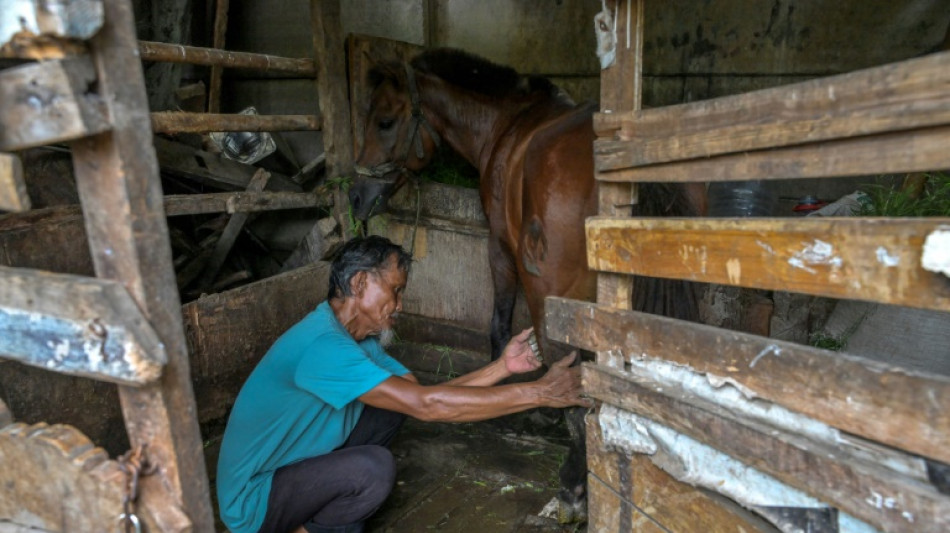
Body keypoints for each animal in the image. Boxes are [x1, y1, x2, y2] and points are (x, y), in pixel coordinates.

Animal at [352, 47, 708, 520]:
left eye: (385, 121)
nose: (356, 196)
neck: (508, 124)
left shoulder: (500, 249)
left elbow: (500, 326)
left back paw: (572, 488)